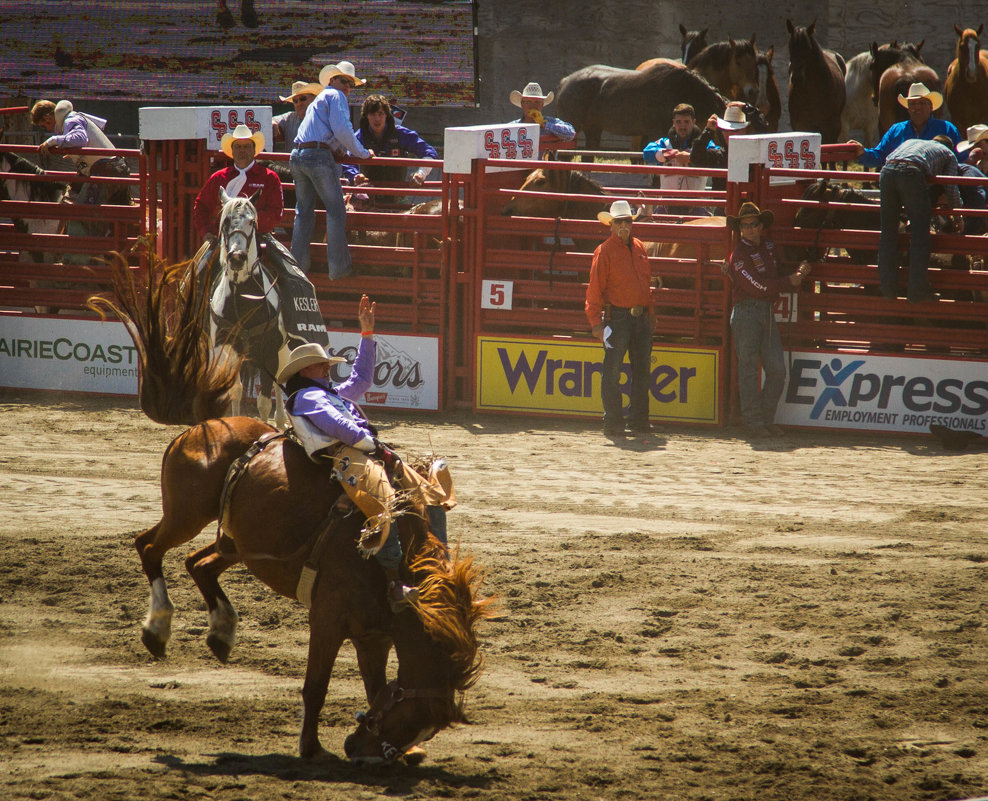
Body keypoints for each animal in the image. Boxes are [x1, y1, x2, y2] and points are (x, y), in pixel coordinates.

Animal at [90, 253, 492, 764]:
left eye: (427, 725)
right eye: (417, 716)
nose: (362, 751)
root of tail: (208, 423)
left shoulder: (374, 636)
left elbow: (374, 686)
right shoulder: (328, 619)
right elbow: (315, 686)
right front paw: (312, 748)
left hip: (238, 542)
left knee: (198, 563)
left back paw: (221, 632)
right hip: (186, 514)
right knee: (149, 548)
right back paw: (158, 629)